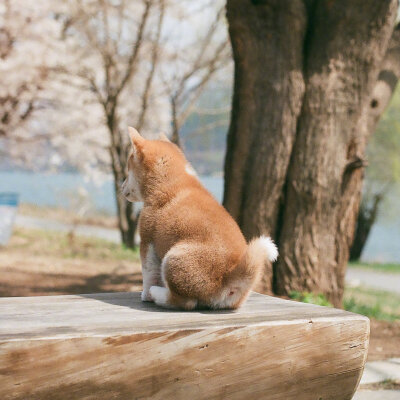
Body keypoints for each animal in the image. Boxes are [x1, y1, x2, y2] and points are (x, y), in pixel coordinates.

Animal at [121, 127, 278, 310]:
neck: (169, 181)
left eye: (128, 170)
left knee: (183, 302)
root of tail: (231, 277)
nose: (121, 187)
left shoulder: (147, 241)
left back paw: (155, 294)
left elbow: (148, 273)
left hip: (173, 258)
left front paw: (145, 294)